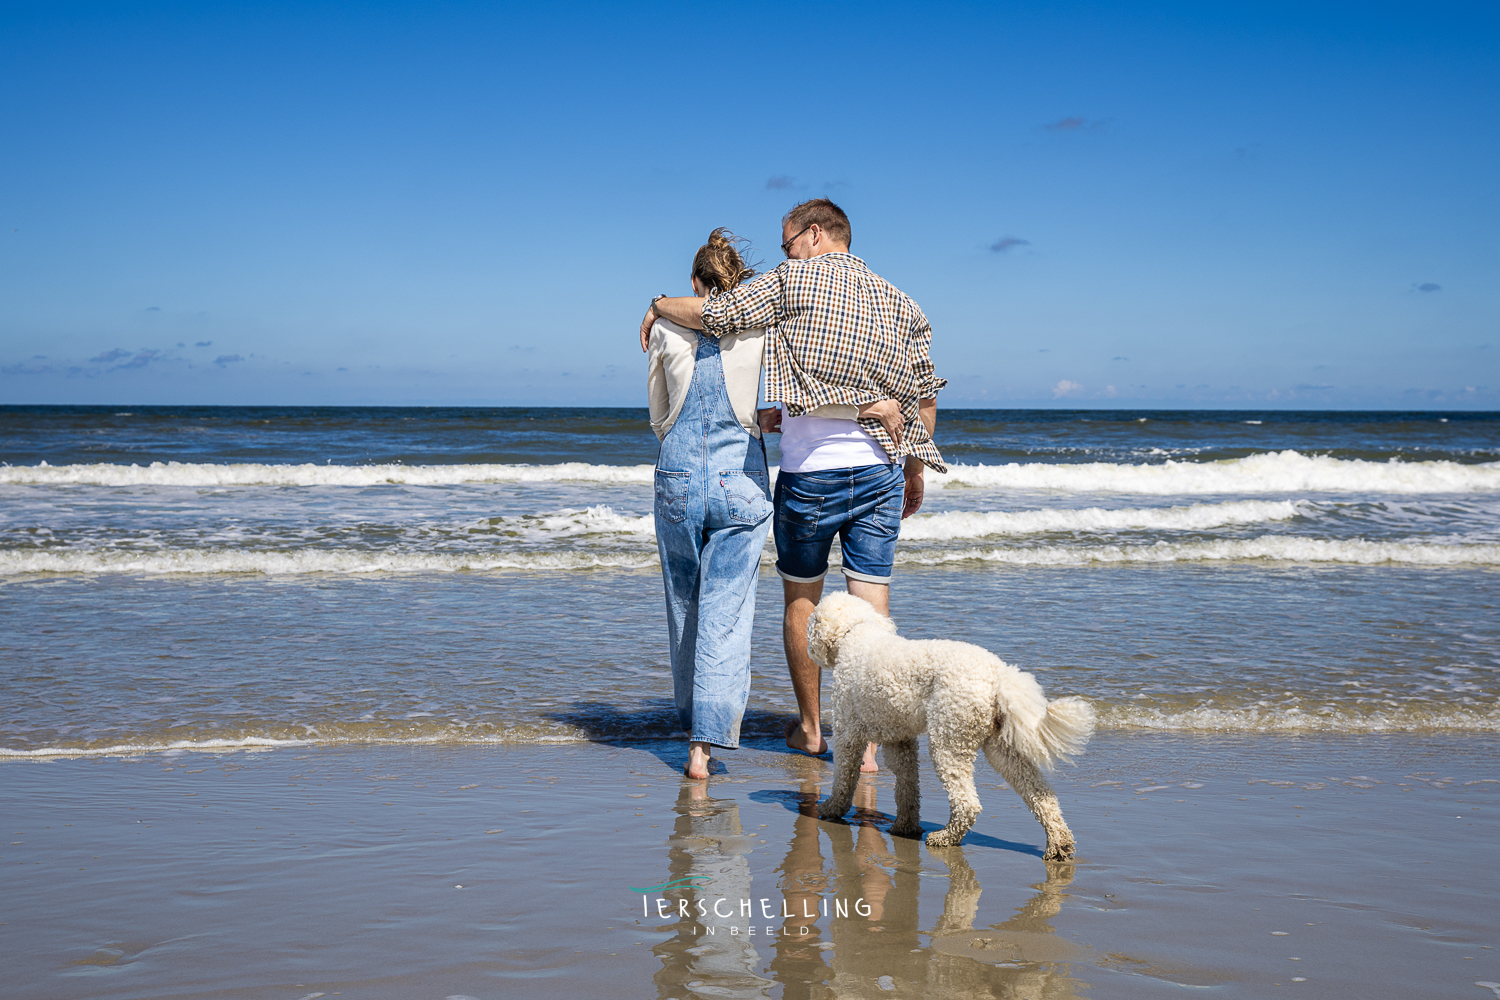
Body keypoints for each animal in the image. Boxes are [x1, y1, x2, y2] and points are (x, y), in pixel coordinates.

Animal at [816, 593, 1098, 863]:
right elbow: (907, 787)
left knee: (967, 803)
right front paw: (905, 826)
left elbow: (844, 777)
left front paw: (831, 809)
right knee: (1042, 795)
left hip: (949, 741)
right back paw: (1059, 844)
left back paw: (945, 837)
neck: (858, 632)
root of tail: (999, 677)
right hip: (1002, 749)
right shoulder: (900, 740)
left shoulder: (847, 733)